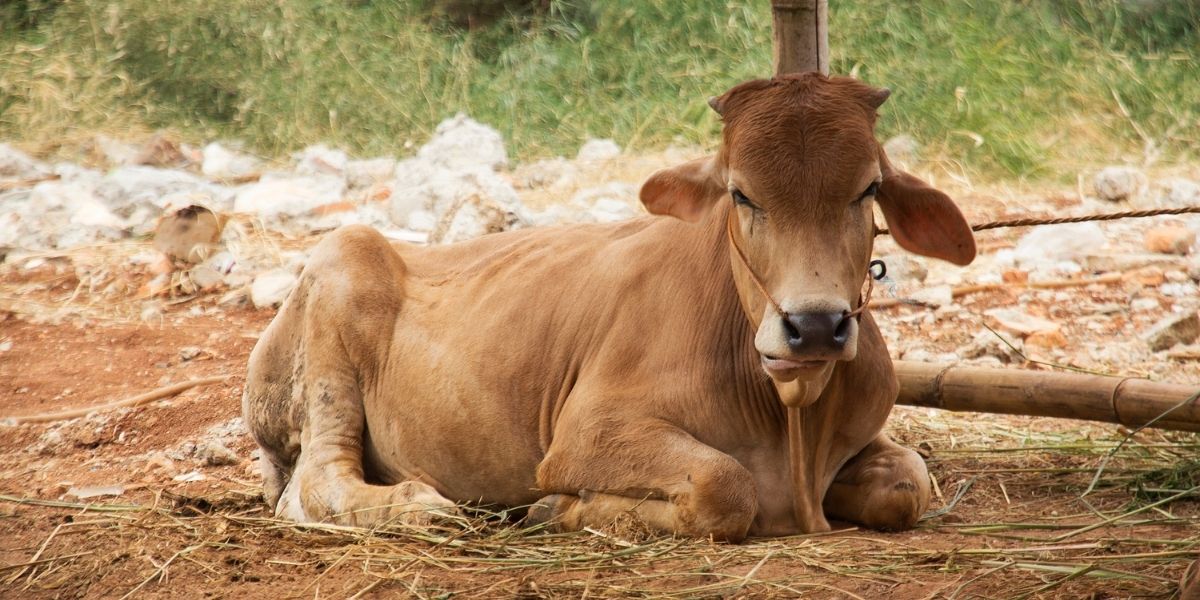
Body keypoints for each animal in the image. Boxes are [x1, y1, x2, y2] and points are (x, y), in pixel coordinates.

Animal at [241, 71, 974, 540]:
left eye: (868, 189)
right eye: (741, 194)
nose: (815, 325)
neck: (792, 424)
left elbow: (908, 483)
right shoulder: (585, 435)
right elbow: (726, 485)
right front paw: (559, 510)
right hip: (339, 284)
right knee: (315, 485)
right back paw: (421, 508)